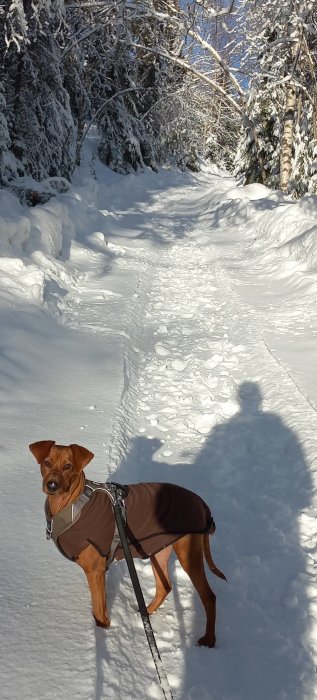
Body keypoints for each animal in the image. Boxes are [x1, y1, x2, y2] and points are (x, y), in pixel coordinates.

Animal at [28, 440, 223, 648]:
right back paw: (145, 614)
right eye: (47, 463)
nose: (52, 485)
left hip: (188, 553)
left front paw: (102, 633)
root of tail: (203, 505)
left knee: (209, 597)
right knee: (165, 586)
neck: (73, 506)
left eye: (68, 466)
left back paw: (209, 639)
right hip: (158, 549)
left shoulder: (95, 570)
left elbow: (99, 610)